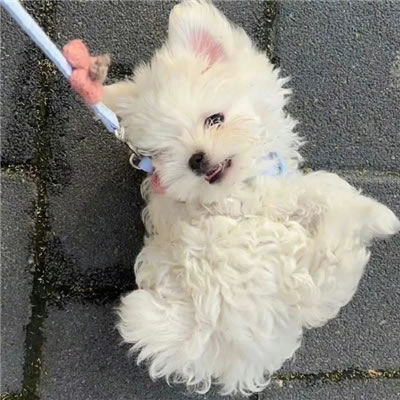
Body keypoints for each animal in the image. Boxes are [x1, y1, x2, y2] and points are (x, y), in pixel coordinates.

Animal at [103, 0, 400, 395]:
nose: (196, 159)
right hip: (272, 261)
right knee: (329, 265)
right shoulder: (262, 201)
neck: (240, 181)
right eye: (164, 151)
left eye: (215, 119)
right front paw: (354, 203)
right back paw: (374, 217)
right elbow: (314, 189)